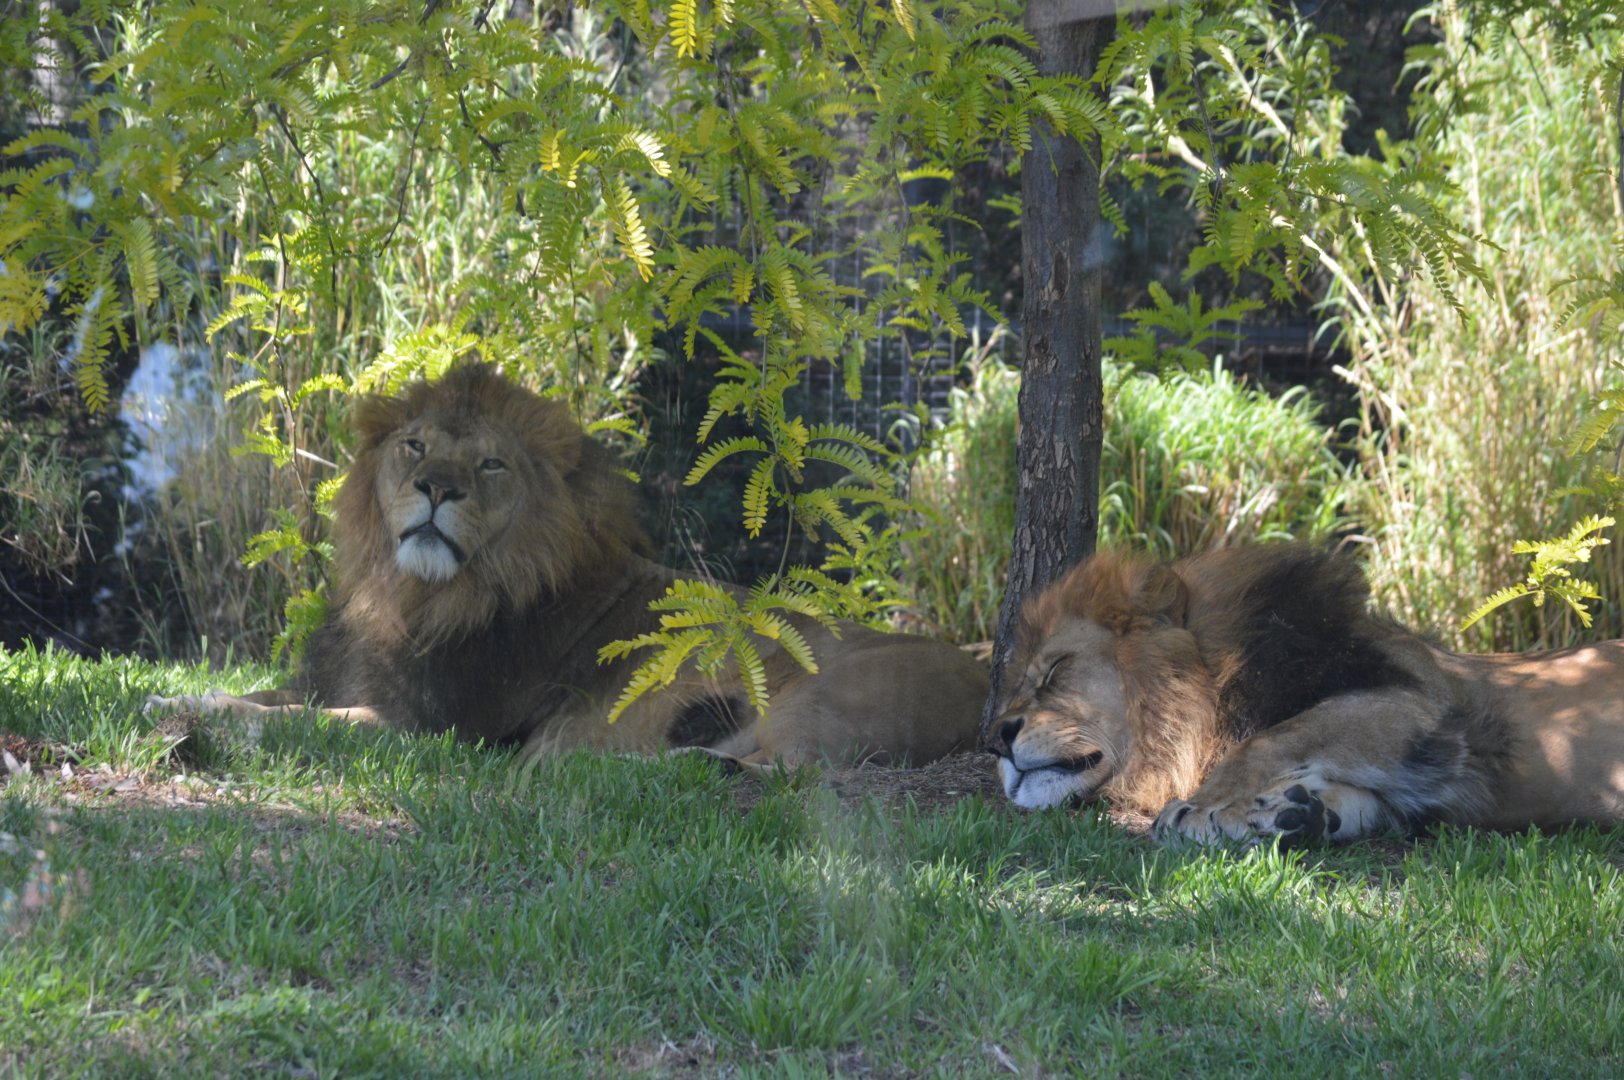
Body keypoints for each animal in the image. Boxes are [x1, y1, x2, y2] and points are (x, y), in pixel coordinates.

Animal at [147, 363, 988, 767]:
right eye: (415, 446)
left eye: (489, 464)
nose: (436, 488)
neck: (411, 594)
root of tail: (987, 683)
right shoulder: (342, 682)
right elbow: (264, 695)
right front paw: (170, 700)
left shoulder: (429, 728)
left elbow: (289, 723)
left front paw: (192, 716)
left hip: (817, 699)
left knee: (791, 772)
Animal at [984, 544, 1624, 845]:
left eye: (1055, 671)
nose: (997, 740)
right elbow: (1358, 799)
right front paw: (1292, 816)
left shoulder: (1416, 703)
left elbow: (1267, 741)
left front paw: (1199, 808)